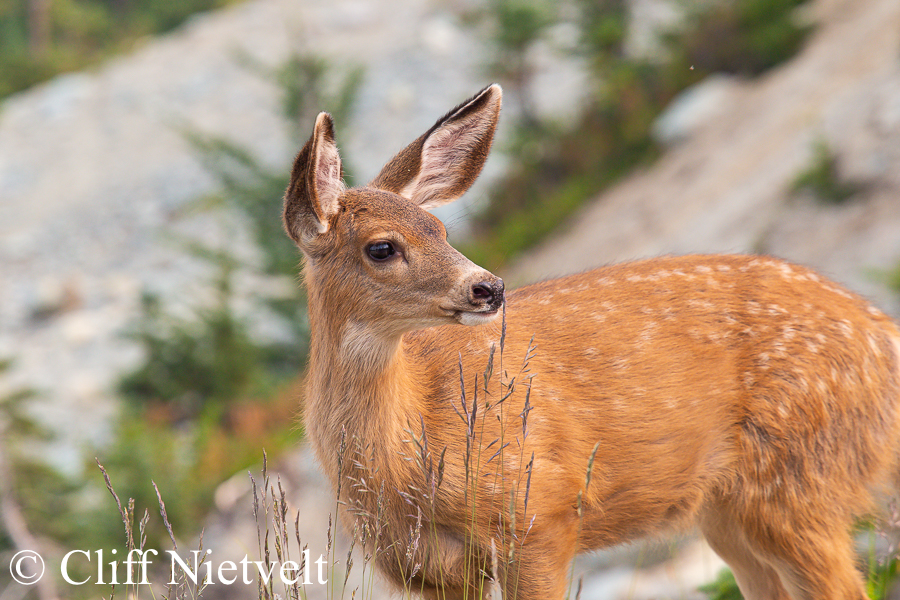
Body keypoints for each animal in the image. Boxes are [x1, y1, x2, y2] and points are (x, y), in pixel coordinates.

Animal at [282, 83, 900, 600]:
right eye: (382, 247)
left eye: (441, 229)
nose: (488, 287)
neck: (406, 464)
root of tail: (882, 331)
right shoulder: (425, 570)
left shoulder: (538, 515)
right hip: (730, 512)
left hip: (799, 478)